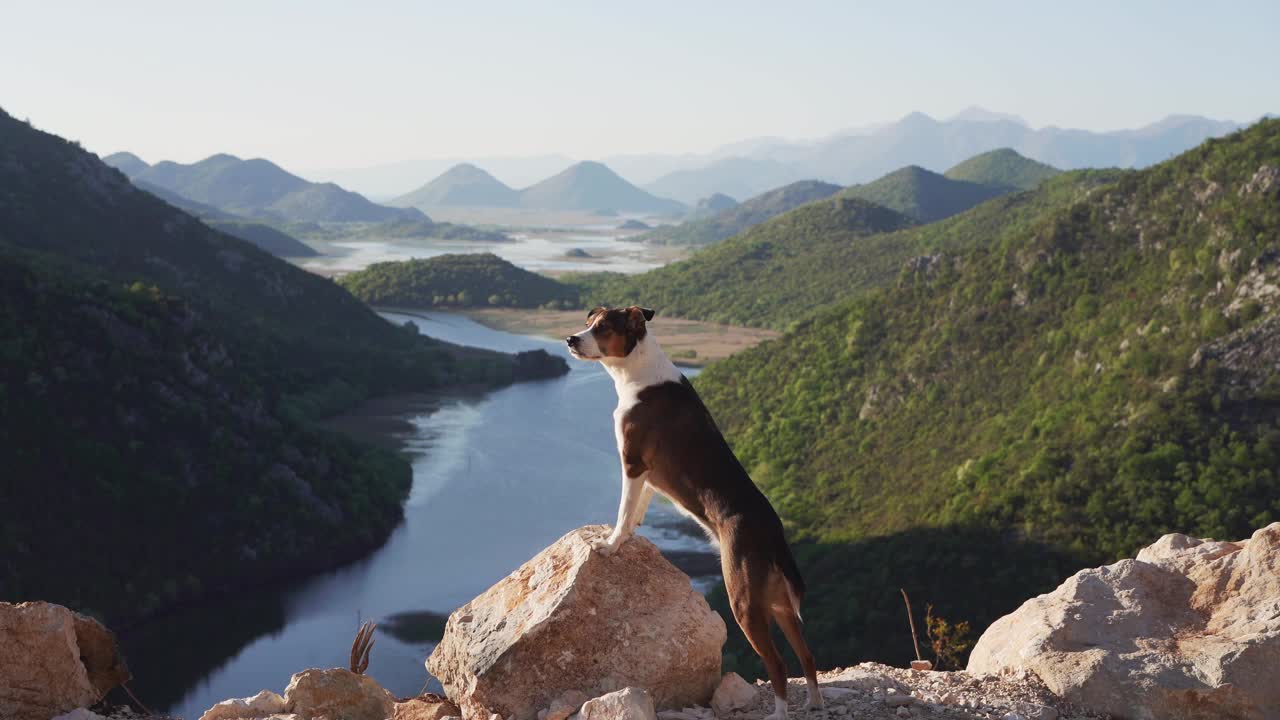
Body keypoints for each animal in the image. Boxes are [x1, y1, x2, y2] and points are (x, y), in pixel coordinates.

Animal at [568, 303, 824, 717]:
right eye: (589, 321)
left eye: (603, 327)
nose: (571, 339)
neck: (638, 372)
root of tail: (773, 531)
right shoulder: (649, 477)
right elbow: (636, 511)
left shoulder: (633, 464)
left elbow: (624, 511)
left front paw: (609, 544)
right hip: (781, 605)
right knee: (807, 654)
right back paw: (815, 702)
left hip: (744, 601)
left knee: (778, 663)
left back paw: (780, 711)